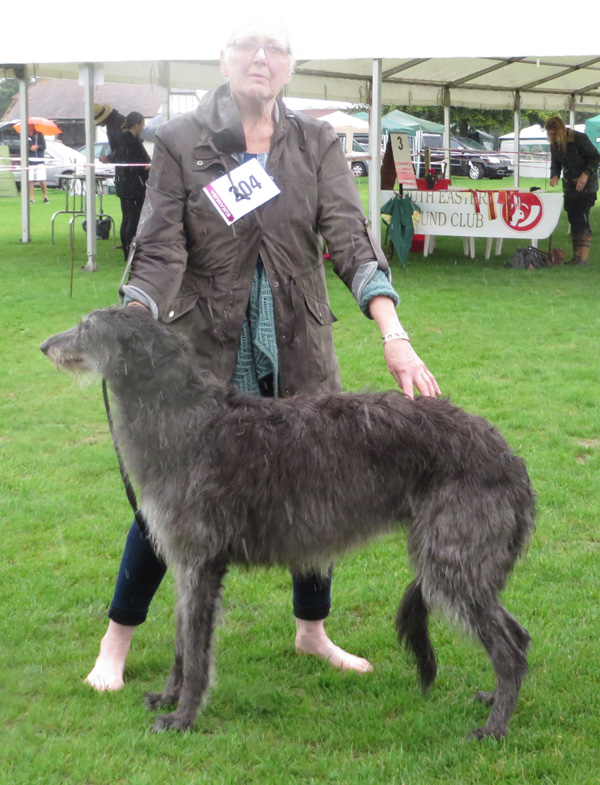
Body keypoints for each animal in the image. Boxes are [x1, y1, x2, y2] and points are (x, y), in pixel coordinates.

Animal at [42, 308, 536, 740]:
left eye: (86, 325)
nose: (45, 345)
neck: (186, 421)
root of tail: (512, 459)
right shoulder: (185, 564)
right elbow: (183, 642)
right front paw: (168, 698)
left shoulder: (201, 562)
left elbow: (197, 652)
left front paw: (183, 718)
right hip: (467, 562)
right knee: (518, 635)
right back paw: (494, 700)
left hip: (452, 558)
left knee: (509, 648)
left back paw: (495, 729)